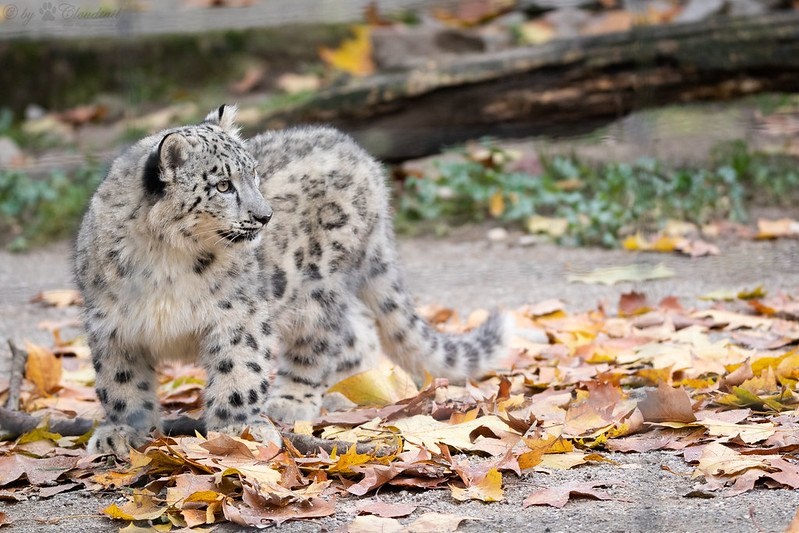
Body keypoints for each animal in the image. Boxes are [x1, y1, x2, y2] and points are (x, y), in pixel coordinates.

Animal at [74, 105, 512, 457]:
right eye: (222, 185)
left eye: (253, 176)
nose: (265, 216)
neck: (165, 260)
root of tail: (365, 159)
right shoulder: (113, 326)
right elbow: (121, 384)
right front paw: (123, 433)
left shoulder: (239, 316)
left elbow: (239, 370)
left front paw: (237, 429)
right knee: (358, 333)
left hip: (318, 288)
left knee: (321, 342)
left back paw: (296, 399)